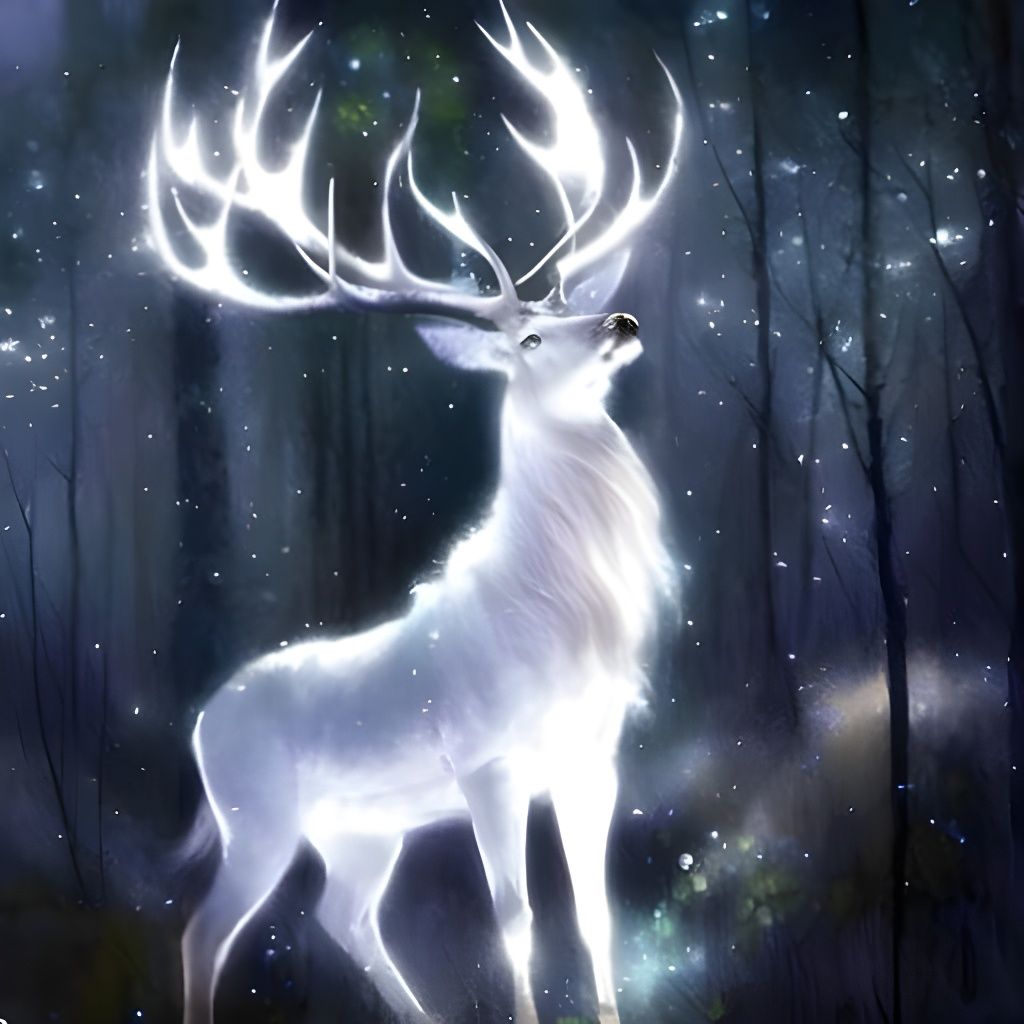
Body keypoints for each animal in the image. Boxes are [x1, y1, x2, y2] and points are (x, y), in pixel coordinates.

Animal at [148, 3, 682, 1022]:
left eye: (569, 307)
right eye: (531, 337)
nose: (623, 323)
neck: (558, 611)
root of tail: (197, 724)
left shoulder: (590, 758)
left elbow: (595, 914)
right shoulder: (486, 761)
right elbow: (514, 920)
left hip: (360, 829)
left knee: (342, 917)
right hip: (258, 819)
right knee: (203, 929)